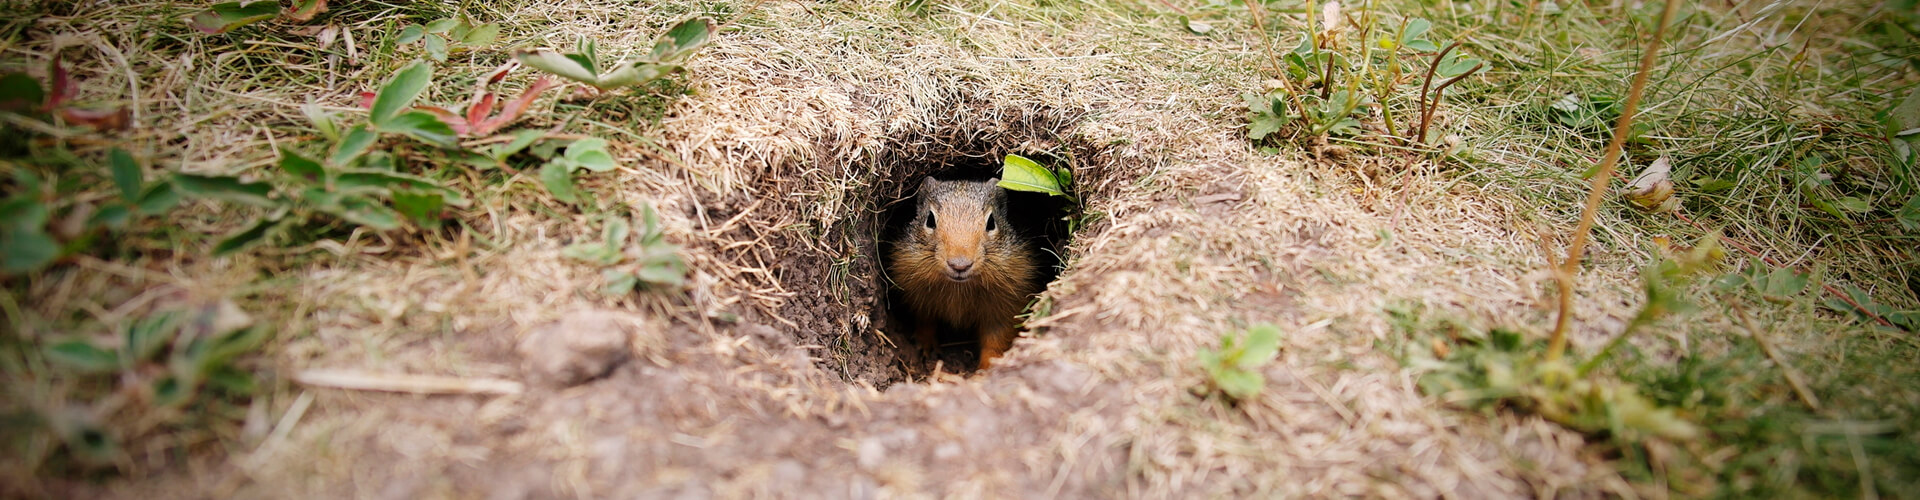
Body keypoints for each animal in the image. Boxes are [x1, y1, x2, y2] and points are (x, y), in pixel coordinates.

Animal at [888, 177, 1042, 370]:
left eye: (991, 222)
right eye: (930, 219)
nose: (959, 265)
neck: (958, 287)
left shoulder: (1007, 307)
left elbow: (996, 340)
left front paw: (986, 369)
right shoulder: (919, 295)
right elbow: (925, 321)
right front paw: (925, 345)